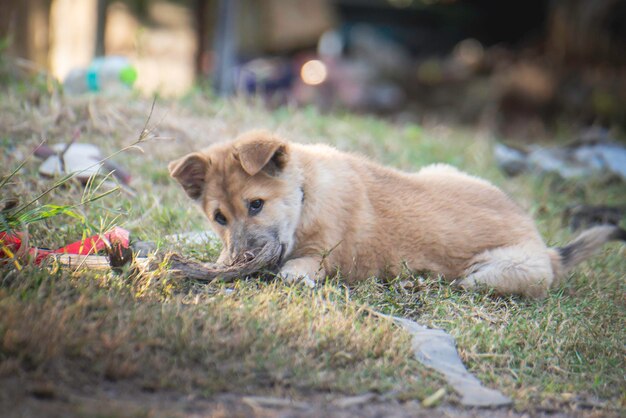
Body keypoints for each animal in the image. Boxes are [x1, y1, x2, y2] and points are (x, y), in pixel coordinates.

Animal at [167, 131, 624, 298]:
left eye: (256, 204)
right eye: (219, 217)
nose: (239, 261)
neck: (305, 193)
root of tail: (546, 248)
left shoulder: (317, 258)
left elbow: (293, 271)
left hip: (495, 274)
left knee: (465, 283)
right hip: (440, 171)